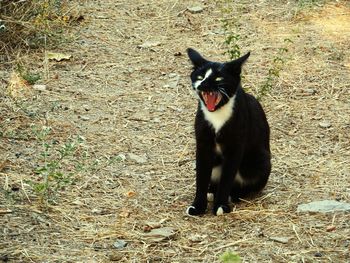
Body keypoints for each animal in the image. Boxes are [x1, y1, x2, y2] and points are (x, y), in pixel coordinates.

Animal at [186, 48, 270, 217]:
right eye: (200, 77)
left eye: (218, 78)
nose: (203, 84)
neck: (217, 115)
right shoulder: (203, 145)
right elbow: (201, 177)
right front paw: (198, 206)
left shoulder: (235, 147)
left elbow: (226, 179)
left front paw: (221, 206)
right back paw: (212, 191)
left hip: (261, 161)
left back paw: (234, 195)